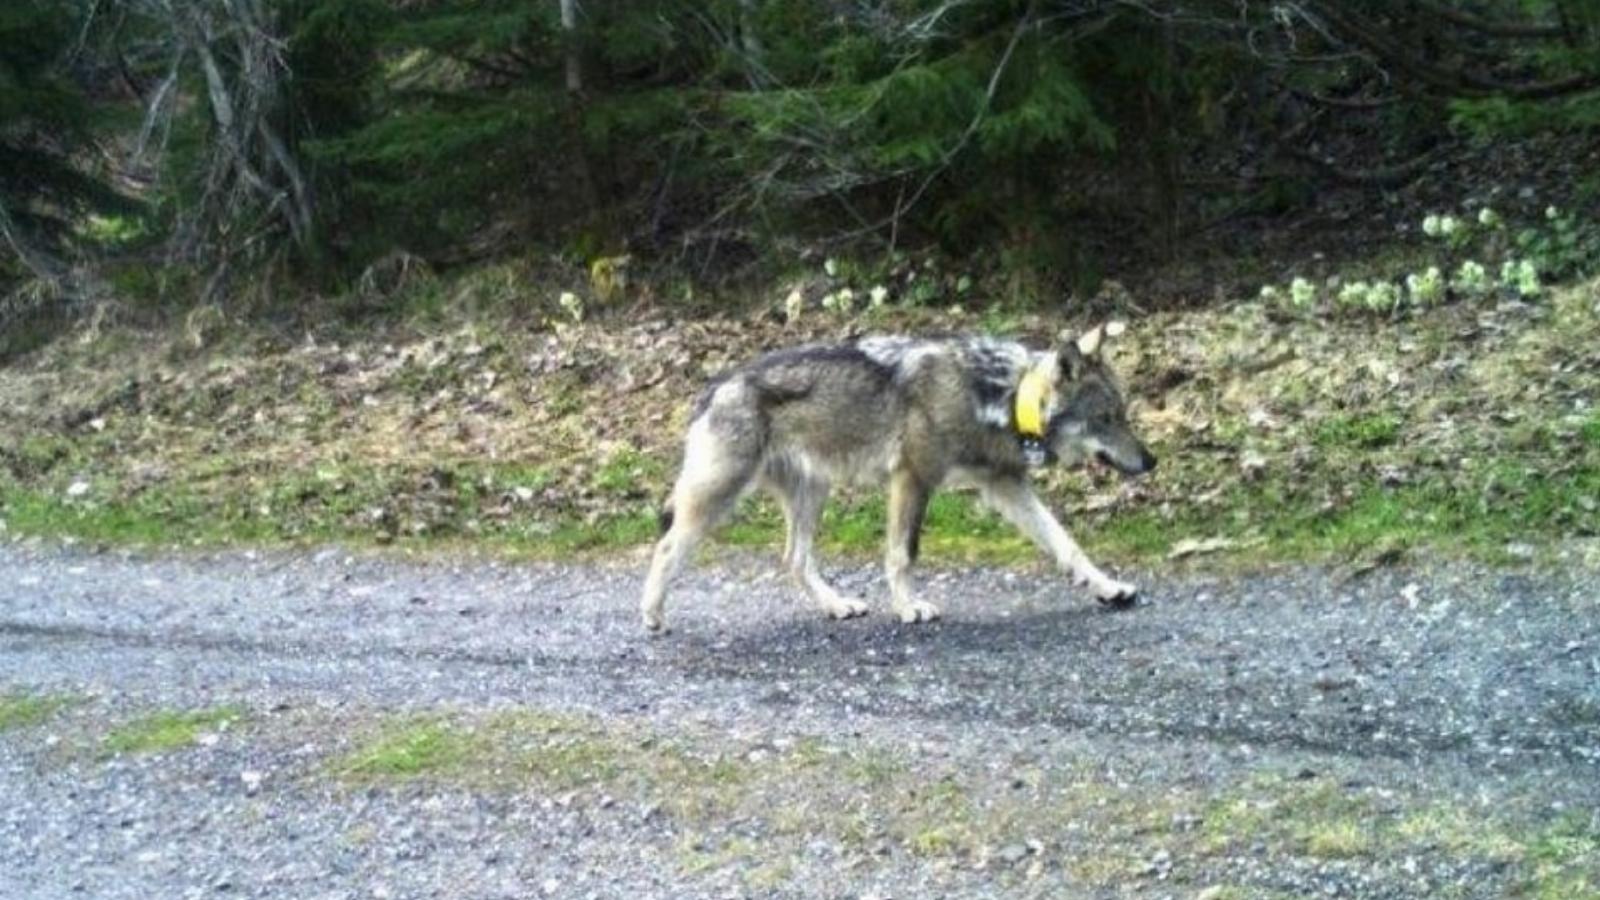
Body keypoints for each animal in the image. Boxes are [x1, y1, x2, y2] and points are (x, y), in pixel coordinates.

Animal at [643, 323, 1158, 630]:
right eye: (1106, 418)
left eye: (1124, 414)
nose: (1151, 461)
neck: (1000, 396)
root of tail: (716, 385)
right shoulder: (913, 478)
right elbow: (902, 555)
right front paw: (909, 608)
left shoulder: (1005, 486)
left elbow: (1066, 544)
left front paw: (1108, 588)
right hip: (719, 499)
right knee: (666, 547)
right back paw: (652, 615)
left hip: (813, 494)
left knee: (795, 559)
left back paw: (837, 605)